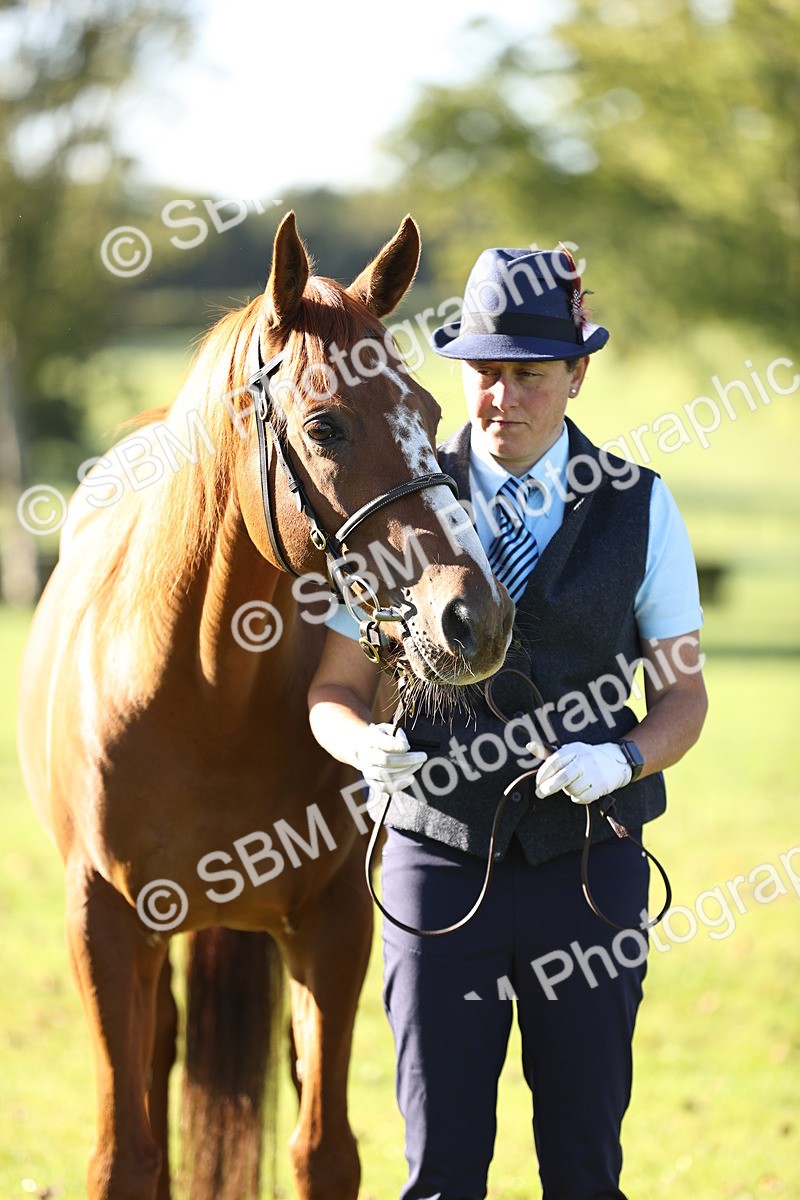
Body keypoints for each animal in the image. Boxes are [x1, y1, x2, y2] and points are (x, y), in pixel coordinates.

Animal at [17, 212, 515, 1200]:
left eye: (431, 414)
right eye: (325, 424)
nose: (473, 617)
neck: (203, 693)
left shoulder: (334, 924)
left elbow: (325, 1153)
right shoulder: (102, 925)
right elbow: (123, 1157)